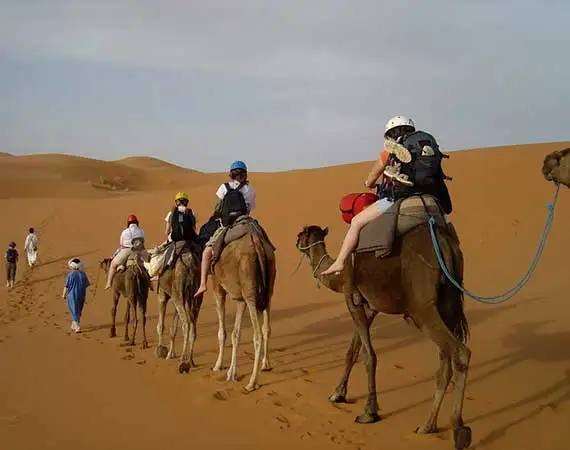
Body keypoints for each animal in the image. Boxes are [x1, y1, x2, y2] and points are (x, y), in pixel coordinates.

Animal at [153, 241, 202, 374]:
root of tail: (190, 262)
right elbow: (173, 327)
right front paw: (170, 353)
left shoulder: (162, 294)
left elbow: (161, 325)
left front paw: (161, 350)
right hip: (197, 295)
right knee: (193, 326)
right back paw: (190, 361)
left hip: (178, 293)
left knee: (186, 324)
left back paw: (182, 362)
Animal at [212, 230, 276, 392]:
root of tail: (258, 245)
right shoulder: (241, 298)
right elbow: (236, 334)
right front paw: (231, 373)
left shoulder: (217, 287)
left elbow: (222, 332)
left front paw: (218, 365)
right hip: (267, 287)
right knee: (266, 328)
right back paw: (266, 365)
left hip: (250, 288)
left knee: (257, 335)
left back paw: (252, 383)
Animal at [296, 221, 468, 446]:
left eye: (300, 234)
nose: (296, 242)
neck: (338, 274)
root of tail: (446, 244)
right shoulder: (370, 307)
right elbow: (352, 351)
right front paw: (338, 394)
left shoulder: (352, 298)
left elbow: (369, 356)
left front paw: (369, 413)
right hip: (447, 304)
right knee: (445, 364)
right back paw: (427, 426)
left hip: (422, 307)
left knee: (460, 352)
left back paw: (459, 430)